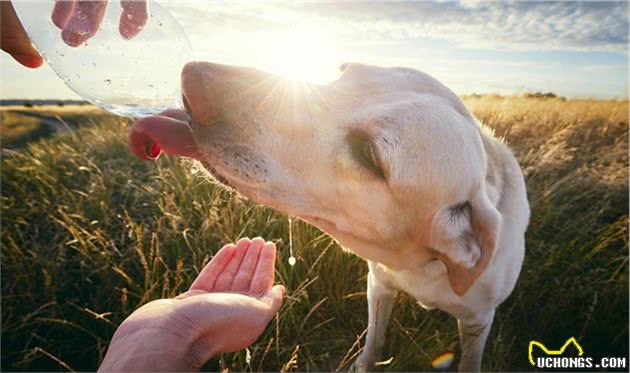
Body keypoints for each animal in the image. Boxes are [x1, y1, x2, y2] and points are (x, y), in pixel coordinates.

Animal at [131, 62, 532, 370]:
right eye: (343, 72)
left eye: (368, 154)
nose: (192, 78)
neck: (425, 265)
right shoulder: (379, 286)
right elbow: (374, 340)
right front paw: (363, 365)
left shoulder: (478, 321)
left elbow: (469, 361)